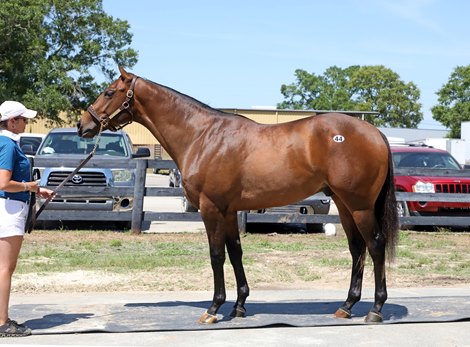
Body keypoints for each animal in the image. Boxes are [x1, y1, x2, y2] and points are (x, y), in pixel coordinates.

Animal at [76, 67, 396, 324]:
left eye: (109, 92)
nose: (83, 125)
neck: (202, 136)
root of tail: (374, 132)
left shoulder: (210, 208)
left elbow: (216, 255)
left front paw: (214, 308)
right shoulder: (229, 211)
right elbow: (235, 252)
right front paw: (239, 305)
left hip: (360, 206)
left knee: (375, 245)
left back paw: (376, 309)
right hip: (344, 204)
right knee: (357, 248)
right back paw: (347, 306)